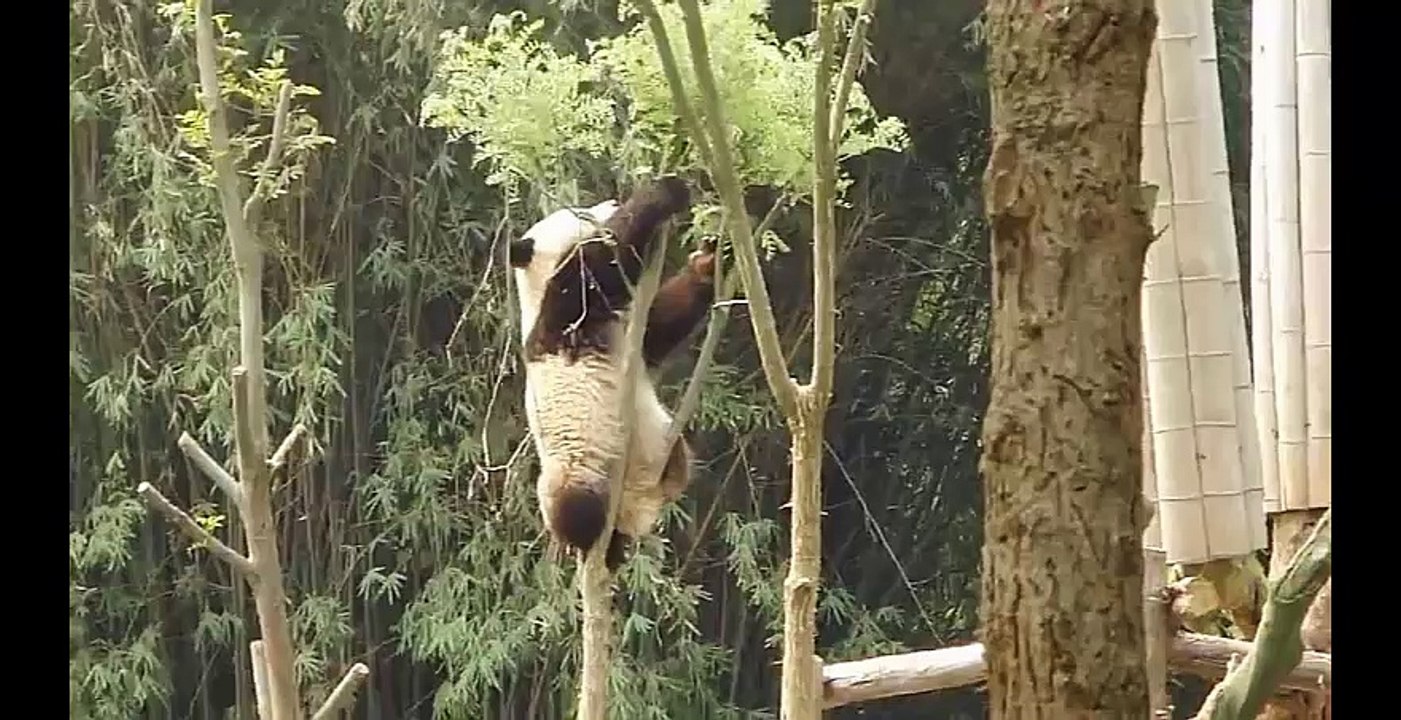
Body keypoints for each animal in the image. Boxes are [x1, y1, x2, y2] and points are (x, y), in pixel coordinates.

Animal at [508, 176, 717, 572]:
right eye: (581, 213)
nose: (611, 202)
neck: (536, 287)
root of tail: (635, 506)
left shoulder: (629, 333)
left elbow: (661, 324)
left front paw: (706, 265)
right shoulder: (564, 314)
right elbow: (604, 263)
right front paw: (666, 191)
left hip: (662, 451)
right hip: (573, 471)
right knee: (574, 506)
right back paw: (597, 546)